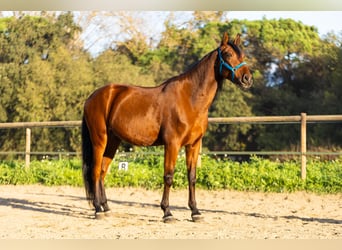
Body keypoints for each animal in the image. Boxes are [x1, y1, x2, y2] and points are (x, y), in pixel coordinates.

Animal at [81, 32, 252, 222]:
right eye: (228, 54)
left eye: (242, 55)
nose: (247, 79)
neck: (190, 99)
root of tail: (93, 97)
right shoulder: (172, 144)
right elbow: (168, 176)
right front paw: (167, 212)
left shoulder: (193, 145)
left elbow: (192, 177)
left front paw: (195, 211)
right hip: (100, 140)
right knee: (95, 171)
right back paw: (97, 209)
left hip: (113, 141)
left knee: (103, 171)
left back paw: (106, 208)